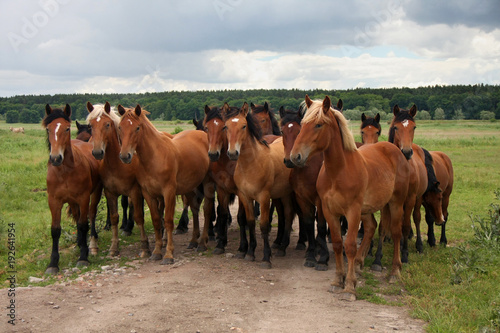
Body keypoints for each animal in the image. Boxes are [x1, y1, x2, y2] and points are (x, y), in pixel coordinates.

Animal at [42, 103, 102, 272]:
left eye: (67, 128)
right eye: (48, 129)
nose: (56, 158)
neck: (65, 172)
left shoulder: (83, 198)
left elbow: (83, 225)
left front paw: (83, 257)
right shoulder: (54, 201)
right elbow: (55, 230)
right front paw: (53, 263)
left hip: (95, 193)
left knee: (91, 215)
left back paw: (90, 244)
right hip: (72, 201)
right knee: (77, 216)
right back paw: (79, 243)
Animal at [87, 101, 149, 256]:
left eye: (107, 124)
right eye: (90, 126)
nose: (97, 152)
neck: (116, 165)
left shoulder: (134, 191)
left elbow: (138, 216)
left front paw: (144, 246)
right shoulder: (110, 192)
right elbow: (114, 217)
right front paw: (114, 247)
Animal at [118, 105, 214, 264]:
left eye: (137, 128)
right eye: (120, 127)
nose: (125, 156)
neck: (154, 157)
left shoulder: (168, 192)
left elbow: (168, 221)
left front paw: (169, 254)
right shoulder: (148, 194)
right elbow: (157, 221)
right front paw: (156, 251)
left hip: (207, 183)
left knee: (206, 210)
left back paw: (202, 243)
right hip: (190, 187)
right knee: (194, 209)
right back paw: (193, 241)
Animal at [224, 102, 296, 268]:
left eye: (243, 126)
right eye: (226, 126)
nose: (232, 153)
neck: (251, 164)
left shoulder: (263, 198)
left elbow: (263, 225)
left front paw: (266, 257)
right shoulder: (245, 197)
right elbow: (250, 222)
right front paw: (250, 253)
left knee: (289, 214)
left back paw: (282, 246)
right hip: (283, 193)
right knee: (287, 214)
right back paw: (281, 247)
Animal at [290, 94, 410, 294]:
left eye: (318, 125)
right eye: (303, 123)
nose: (295, 156)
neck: (339, 172)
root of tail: (396, 150)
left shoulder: (352, 212)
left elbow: (350, 246)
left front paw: (349, 286)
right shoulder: (330, 211)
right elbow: (339, 244)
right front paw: (338, 279)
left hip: (396, 203)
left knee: (395, 233)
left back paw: (394, 272)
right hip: (368, 209)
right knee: (371, 227)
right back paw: (361, 264)